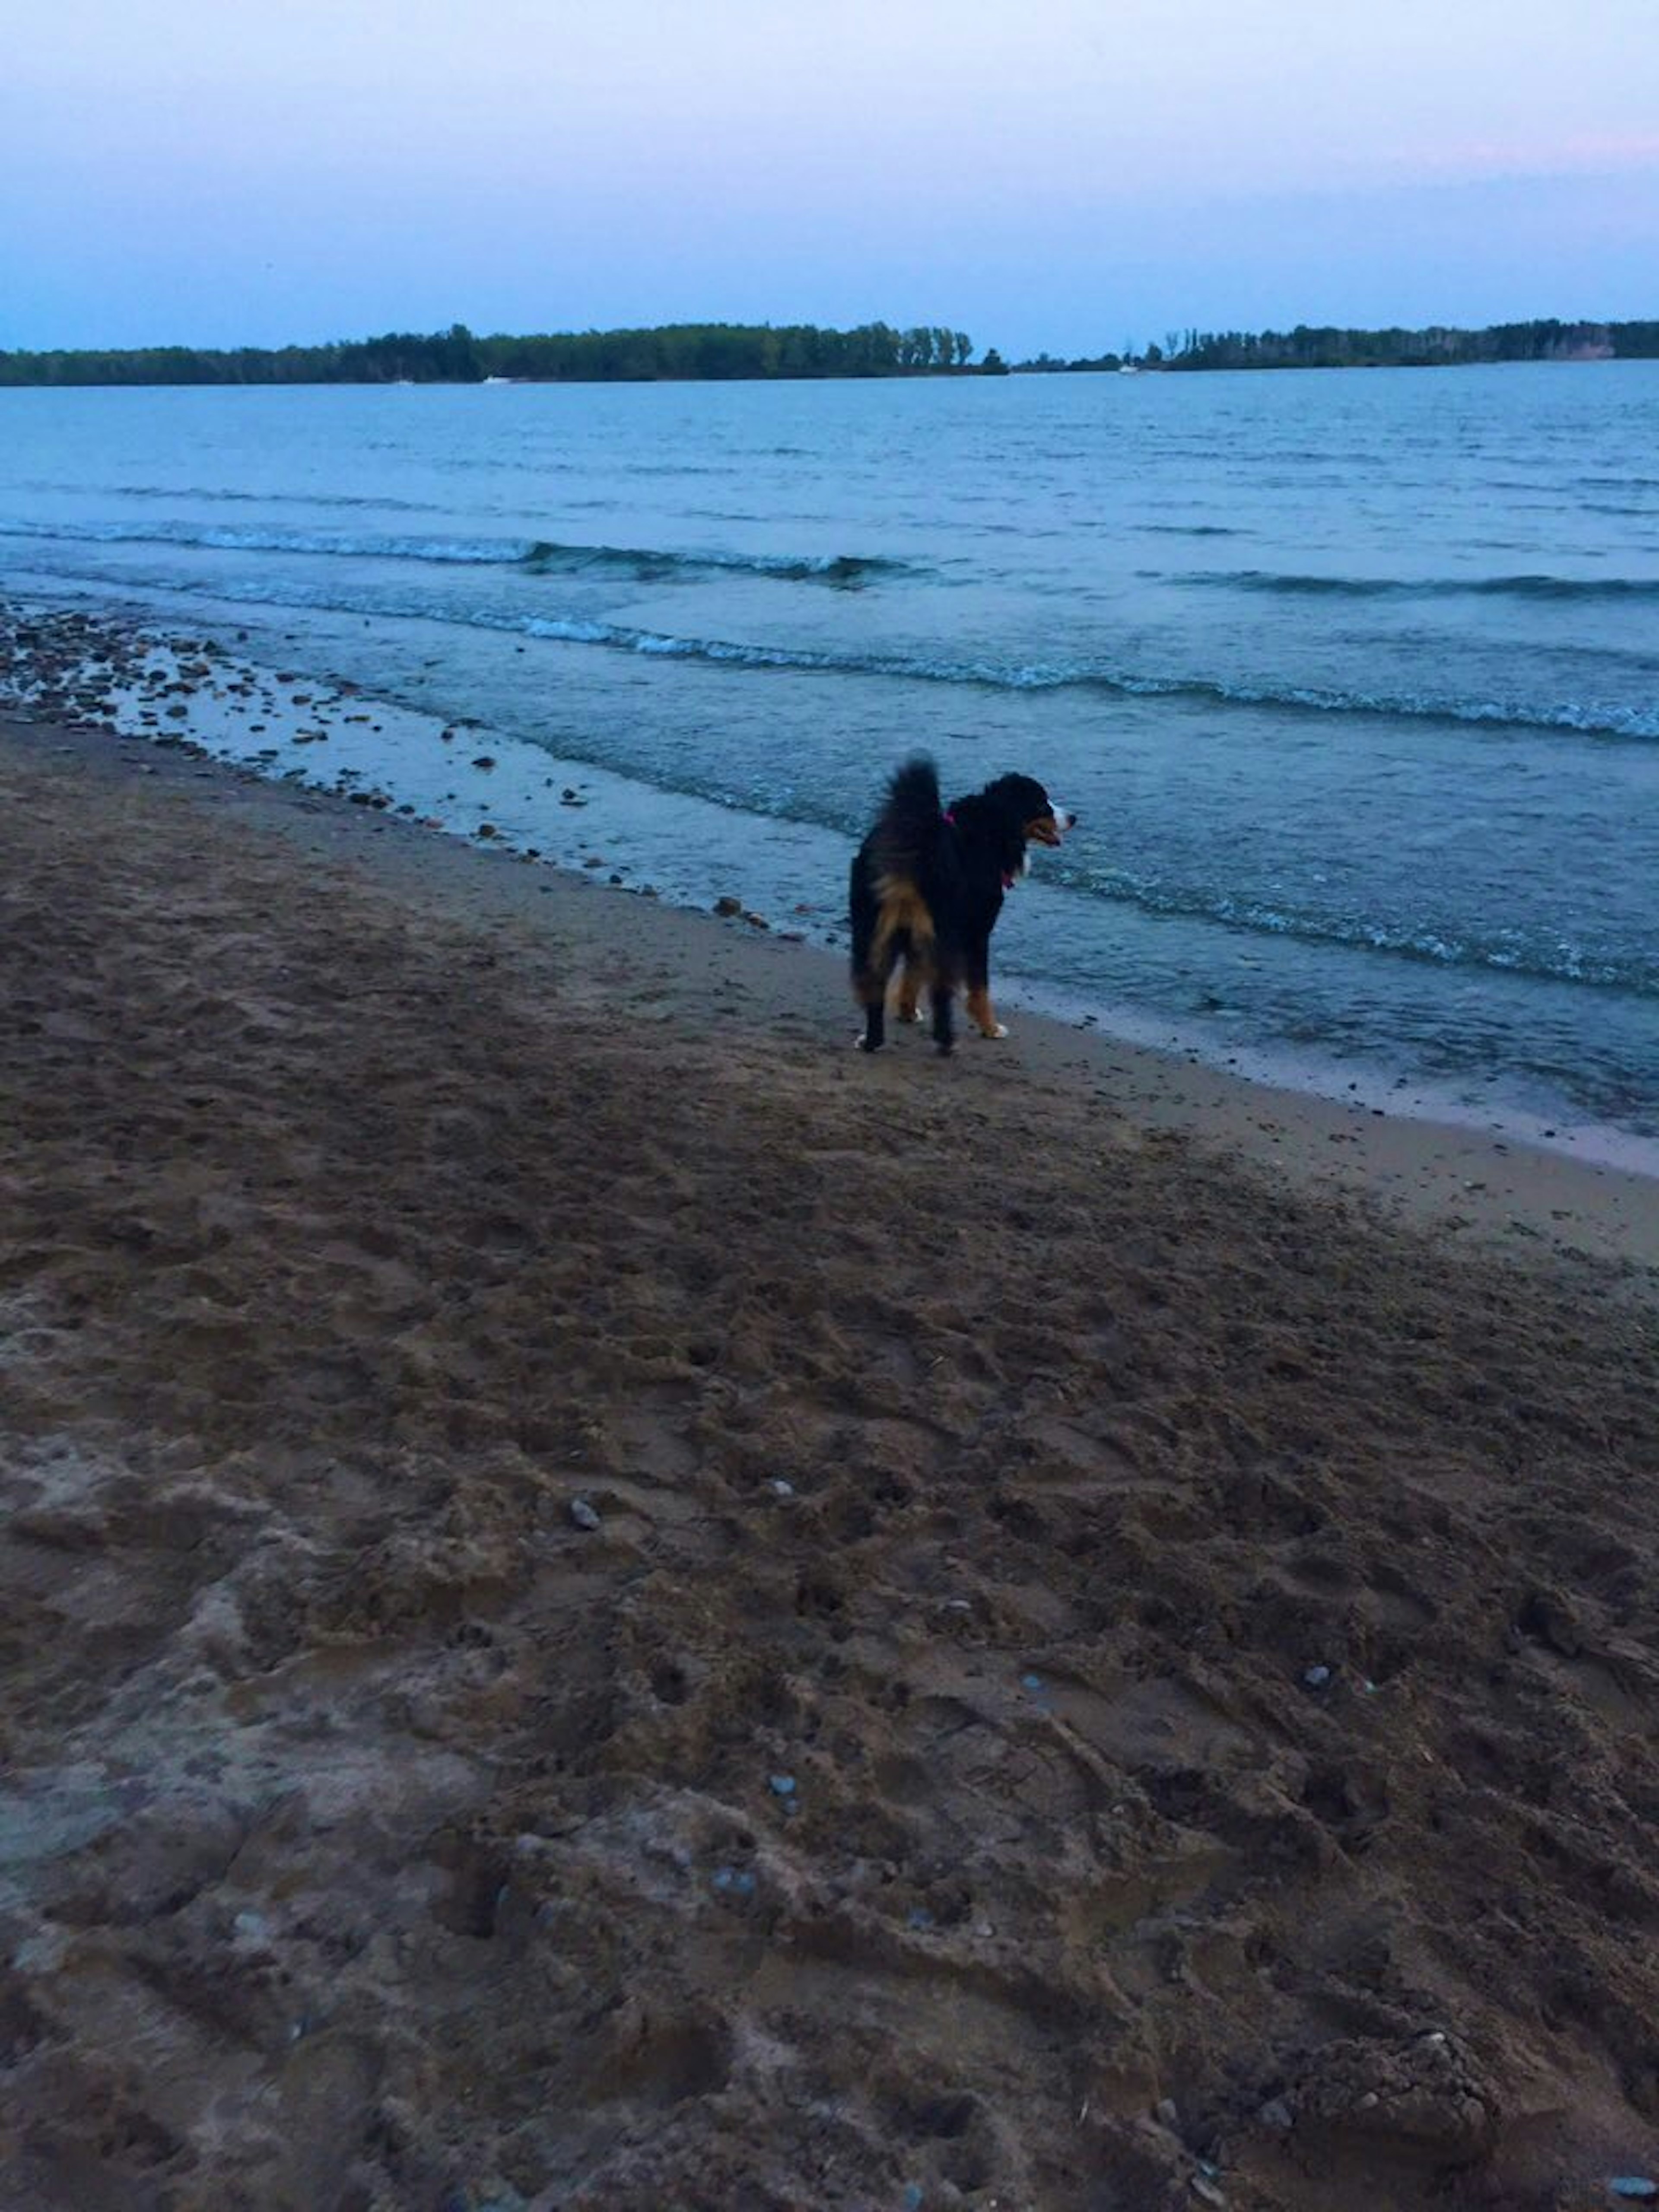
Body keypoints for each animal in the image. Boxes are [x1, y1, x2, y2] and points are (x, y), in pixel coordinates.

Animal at [849, 761, 1071, 1053]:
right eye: (1042, 803)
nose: (1074, 818)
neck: (990, 832)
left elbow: (913, 973)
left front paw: (907, 1012)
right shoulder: (976, 931)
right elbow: (980, 987)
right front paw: (990, 1028)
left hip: (871, 928)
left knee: (874, 983)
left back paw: (872, 1040)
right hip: (945, 929)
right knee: (941, 991)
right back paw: (948, 1042)